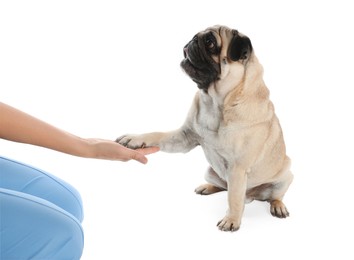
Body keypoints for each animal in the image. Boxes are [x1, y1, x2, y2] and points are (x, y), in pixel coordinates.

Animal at [116, 24, 294, 232]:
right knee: (224, 186)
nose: (193, 40)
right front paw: (135, 139)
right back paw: (208, 188)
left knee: (271, 196)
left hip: (285, 177)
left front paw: (232, 219)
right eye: (197, 36)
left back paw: (278, 206)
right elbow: (157, 134)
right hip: (210, 171)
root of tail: (251, 196)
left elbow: (234, 198)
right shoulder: (184, 138)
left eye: (210, 42)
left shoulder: (238, 168)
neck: (216, 101)